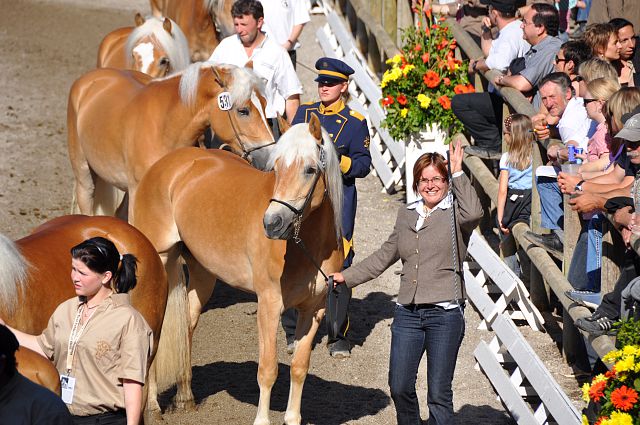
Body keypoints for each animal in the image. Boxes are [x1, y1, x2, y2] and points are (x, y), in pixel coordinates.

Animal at [133, 114, 344, 422]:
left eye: (310, 169)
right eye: (276, 168)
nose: (272, 223)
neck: (306, 245)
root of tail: (169, 164)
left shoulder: (313, 310)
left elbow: (299, 367)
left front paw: (292, 418)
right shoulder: (269, 304)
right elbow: (268, 370)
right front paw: (262, 420)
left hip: (203, 274)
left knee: (186, 328)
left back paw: (185, 398)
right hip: (159, 265)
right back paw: (152, 407)